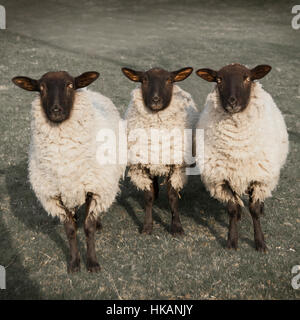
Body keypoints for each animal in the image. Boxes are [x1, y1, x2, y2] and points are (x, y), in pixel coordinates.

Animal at [11, 70, 124, 272]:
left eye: (70, 85)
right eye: (41, 88)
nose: (56, 111)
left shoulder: (94, 188)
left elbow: (88, 228)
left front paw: (92, 262)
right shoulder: (54, 194)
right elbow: (70, 230)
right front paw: (74, 262)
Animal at [120, 67, 198, 235]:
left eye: (169, 80)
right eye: (144, 80)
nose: (156, 100)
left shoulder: (176, 165)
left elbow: (173, 196)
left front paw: (176, 227)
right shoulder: (142, 164)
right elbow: (148, 197)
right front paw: (147, 226)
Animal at [195, 63, 288, 251]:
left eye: (247, 78)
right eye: (219, 79)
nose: (232, 102)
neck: (237, 148)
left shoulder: (259, 178)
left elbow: (254, 210)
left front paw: (260, 242)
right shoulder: (221, 178)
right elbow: (231, 208)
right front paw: (232, 240)